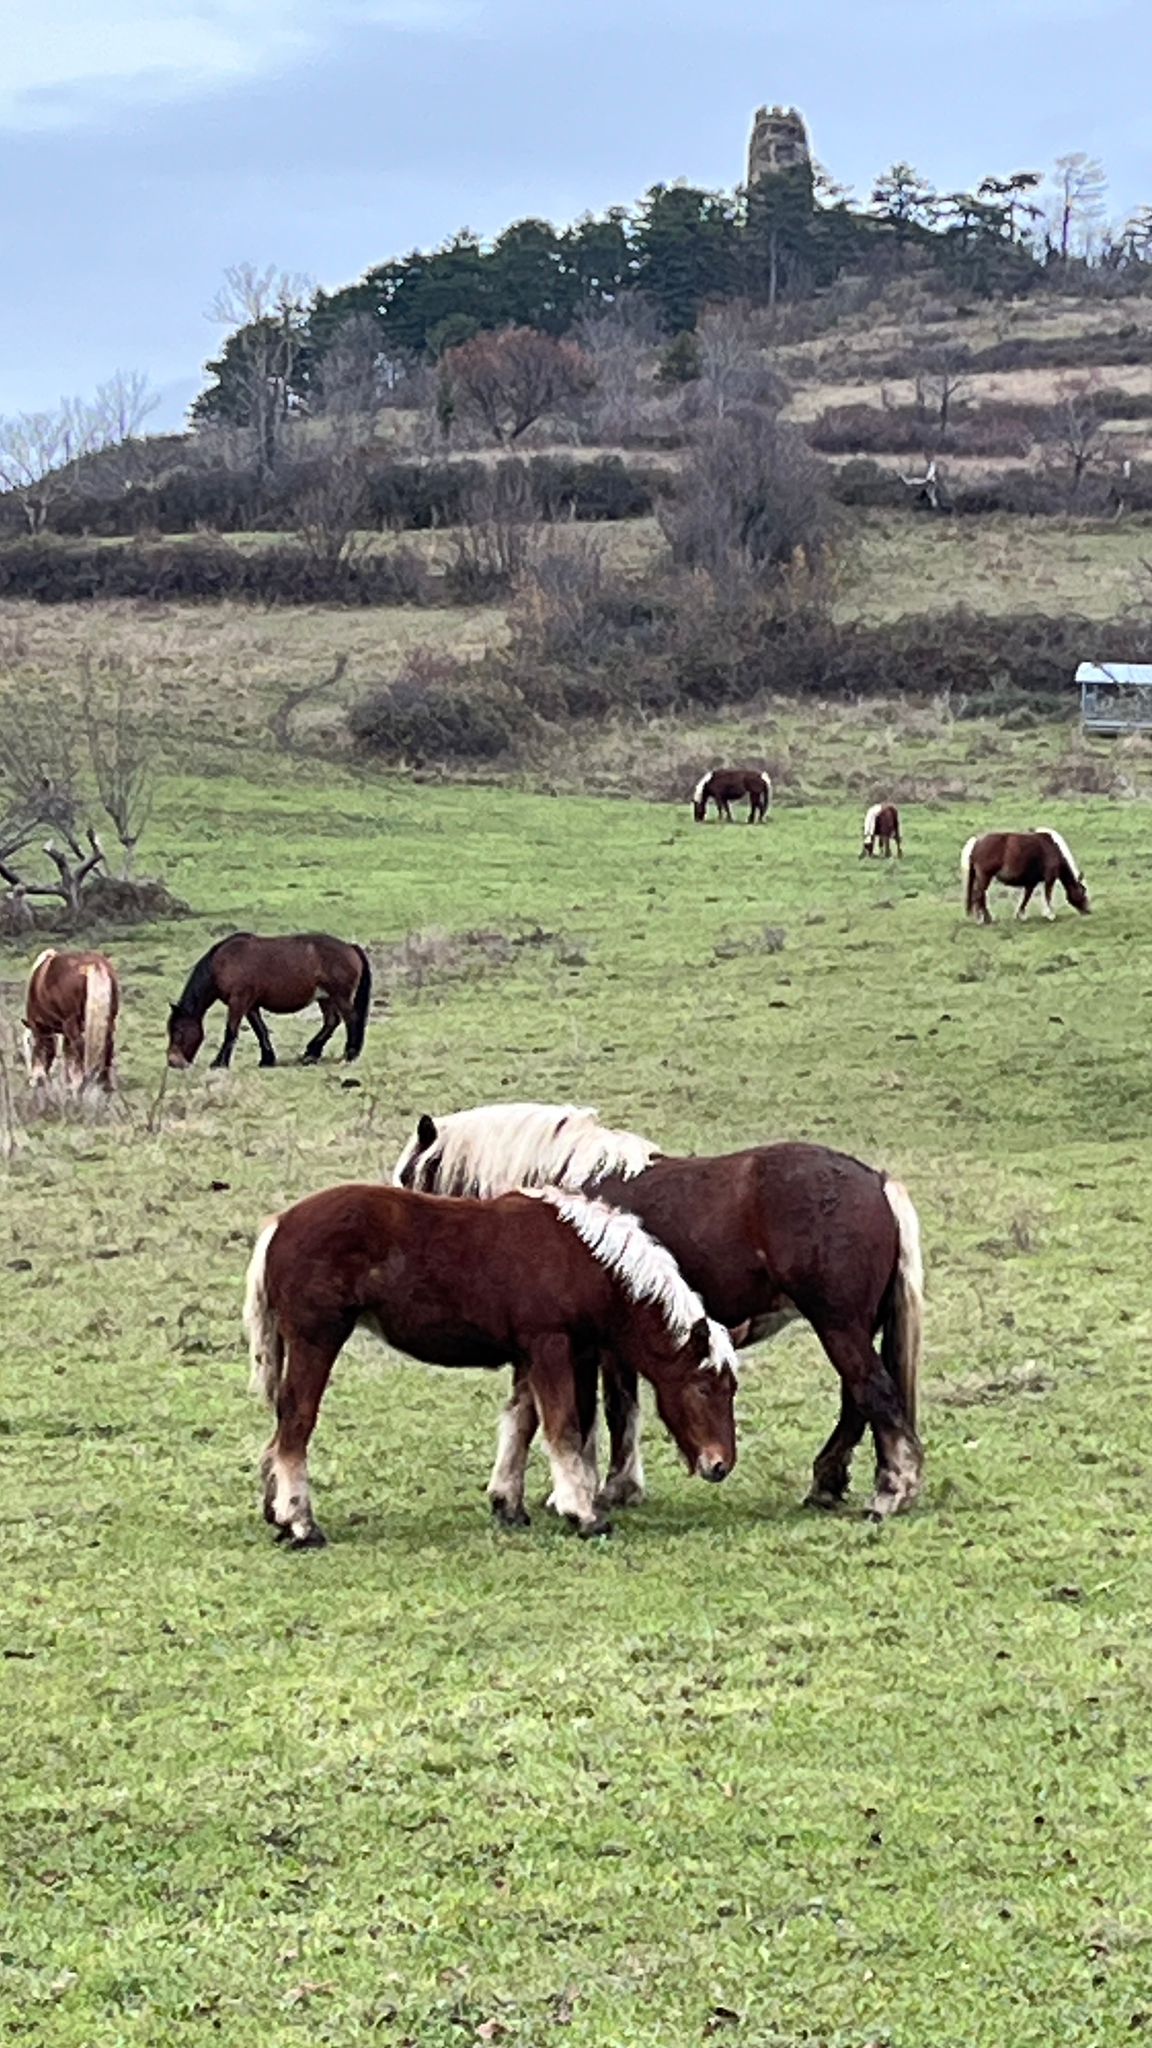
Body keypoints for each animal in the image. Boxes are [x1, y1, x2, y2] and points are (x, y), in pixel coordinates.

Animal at [23, 946, 118, 1097]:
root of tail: (94, 964)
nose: (35, 1080)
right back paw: (104, 1084)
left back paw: (82, 1084)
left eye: (31, 1045)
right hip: (109, 1019)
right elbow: (68, 1053)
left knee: (81, 1046)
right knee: (108, 1044)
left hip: (71, 1023)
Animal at [166, 937, 368, 1073]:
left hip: (340, 997)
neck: (222, 963)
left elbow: (231, 1031)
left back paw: (350, 1054)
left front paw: (219, 1063)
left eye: (179, 1031)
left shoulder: (238, 1001)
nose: (173, 1061)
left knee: (351, 1019)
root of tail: (350, 947)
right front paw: (267, 1059)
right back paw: (311, 1054)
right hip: (325, 998)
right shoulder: (251, 1006)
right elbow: (260, 1030)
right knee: (331, 1021)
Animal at [241, 1179, 733, 1540]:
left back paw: (278, 1515)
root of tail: (280, 1225)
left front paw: (508, 1504)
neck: (580, 1256)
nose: (721, 1465)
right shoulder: (551, 1345)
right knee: (296, 1423)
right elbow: (564, 1428)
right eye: (703, 1386)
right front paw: (584, 1514)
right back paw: (301, 1524)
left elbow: (521, 1422)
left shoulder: (530, 1355)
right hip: (317, 1339)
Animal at [393, 1105, 922, 1523]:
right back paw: (827, 1485)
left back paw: (891, 1492)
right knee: (857, 1400)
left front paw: (590, 1492)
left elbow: (590, 1412)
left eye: (408, 1179)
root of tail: (877, 1183)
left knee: (872, 1393)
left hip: (839, 1326)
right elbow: (608, 1408)